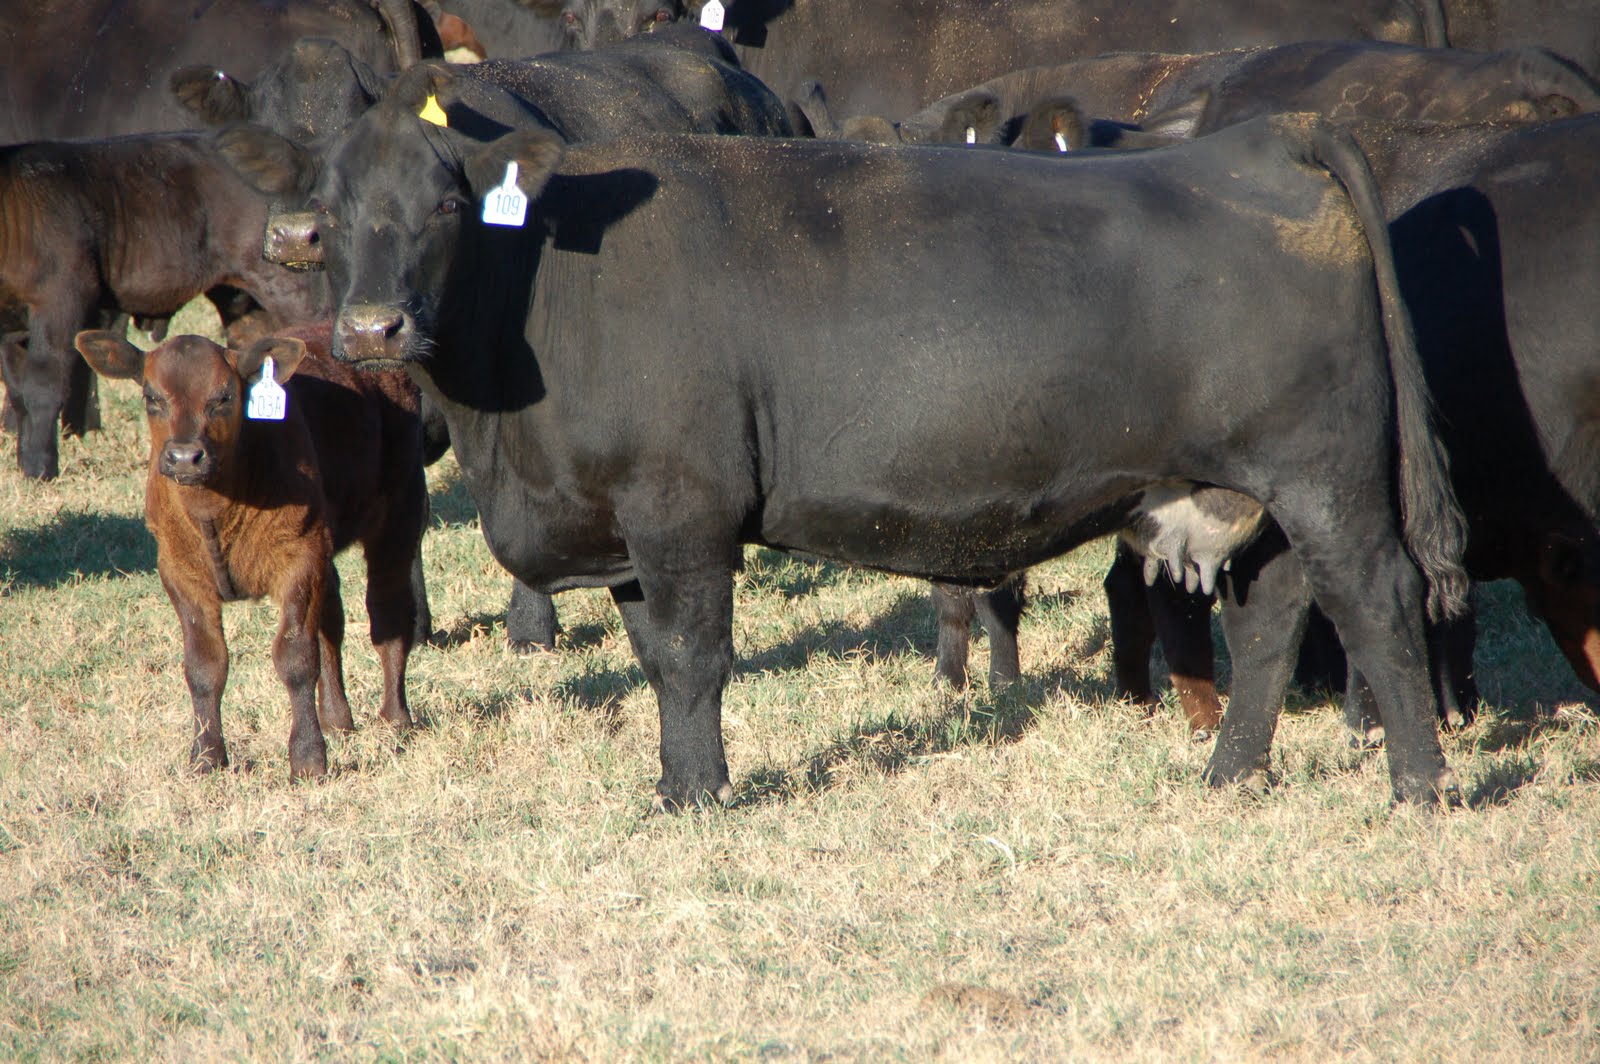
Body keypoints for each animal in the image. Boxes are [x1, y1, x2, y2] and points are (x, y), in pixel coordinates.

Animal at [73, 323, 426, 779]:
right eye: (152, 397)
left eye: (225, 396)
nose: (185, 457)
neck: (216, 510)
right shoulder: (178, 571)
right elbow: (204, 665)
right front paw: (206, 755)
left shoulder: (299, 558)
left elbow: (296, 657)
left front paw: (308, 758)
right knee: (332, 621)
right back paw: (337, 719)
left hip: (400, 510)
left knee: (389, 614)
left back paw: (396, 718)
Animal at [222, 60, 1472, 810]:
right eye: (327, 215)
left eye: (444, 203)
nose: (372, 328)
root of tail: (1259, 140)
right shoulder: (625, 529)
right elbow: (653, 657)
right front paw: (676, 784)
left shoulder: (683, 509)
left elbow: (694, 656)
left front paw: (702, 794)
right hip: (1244, 490)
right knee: (1270, 618)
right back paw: (1228, 774)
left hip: (1325, 479)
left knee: (1375, 599)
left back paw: (1417, 785)